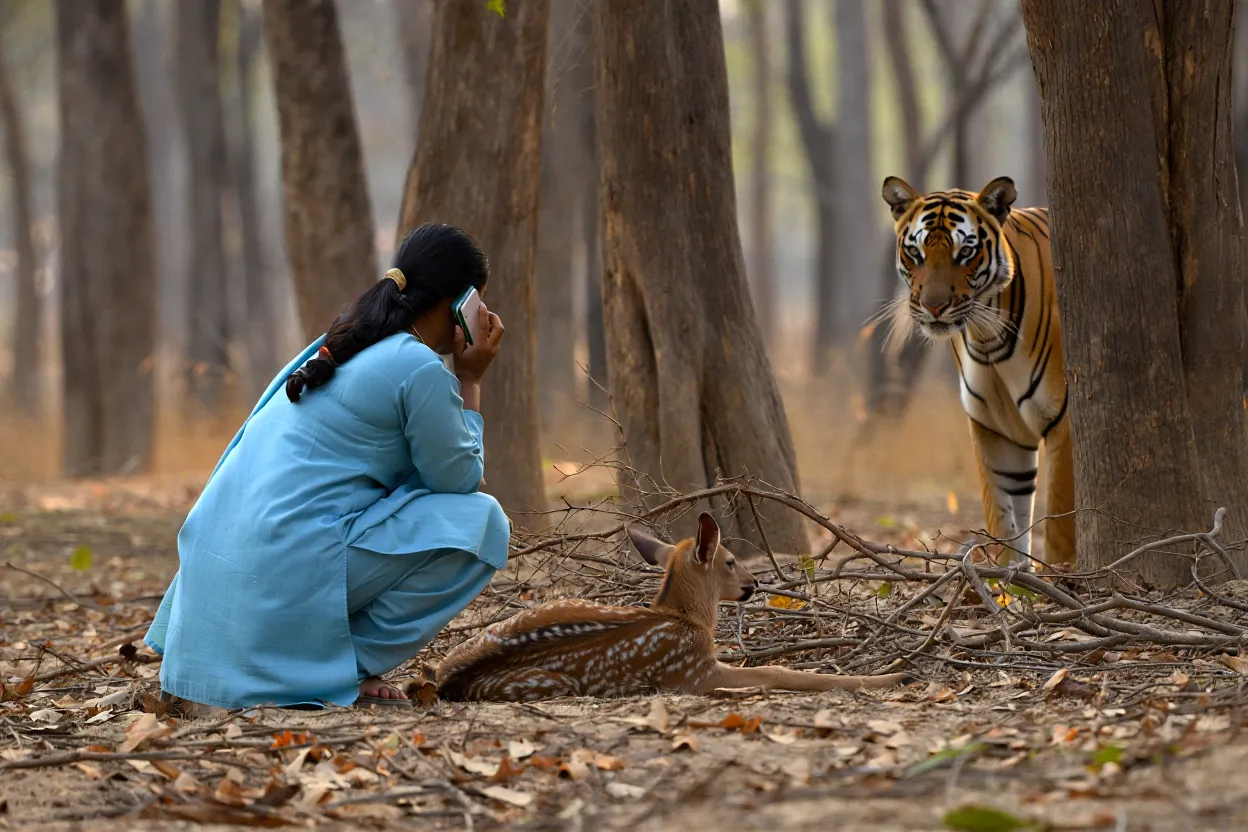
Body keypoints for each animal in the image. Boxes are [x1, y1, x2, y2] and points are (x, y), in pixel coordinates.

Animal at [880, 175, 1075, 569]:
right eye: (916, 253)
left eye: (965, 253)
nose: (933, 306)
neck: (987, 339)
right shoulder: (997, 431)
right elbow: (1004, 524)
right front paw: (1007, 579)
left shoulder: (1064, 425)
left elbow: (1060, 531)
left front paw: (1065, 579)